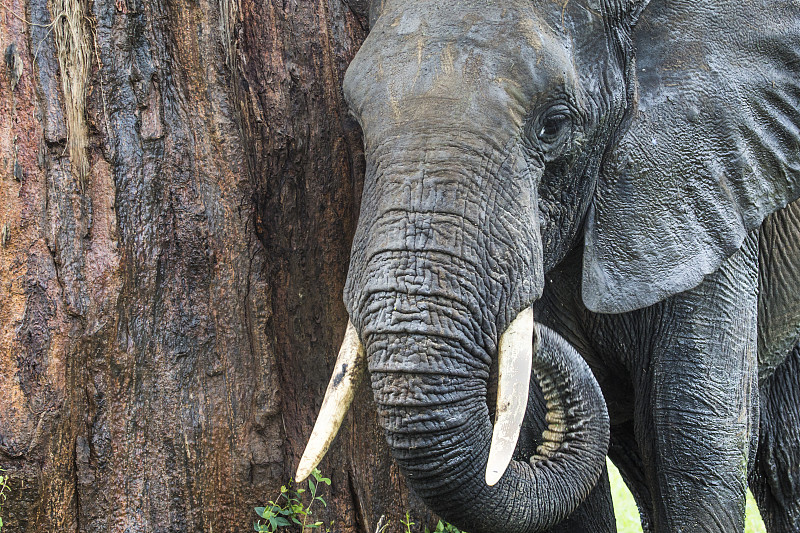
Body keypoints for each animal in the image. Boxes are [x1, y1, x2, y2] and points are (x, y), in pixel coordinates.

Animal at [294, 0, 800, 528]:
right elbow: (540, 436)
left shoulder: (708, 182)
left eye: (553, 125)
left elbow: (693, 436)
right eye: (356, 125)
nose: (530, 329)